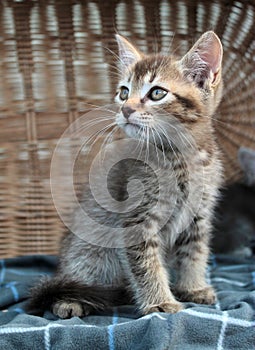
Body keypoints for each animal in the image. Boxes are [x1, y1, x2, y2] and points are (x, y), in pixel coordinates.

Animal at [28, 32, 223, 318]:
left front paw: (193, 287)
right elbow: (147, 265)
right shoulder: (137, 220)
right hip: (89, 253)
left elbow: (194, 254)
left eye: (157, 92)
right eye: (124, 92)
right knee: (70, 281)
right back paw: (70, 301)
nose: (125, 109)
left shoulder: (198, 216)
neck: (180, 158)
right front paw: (159, 302)